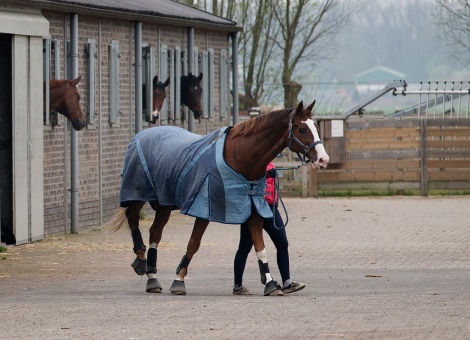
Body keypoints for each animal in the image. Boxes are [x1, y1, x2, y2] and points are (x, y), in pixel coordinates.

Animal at [111, 100, 328, 294]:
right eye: (302, 128)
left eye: (316, 126)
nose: (323, 159)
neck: (239, 157)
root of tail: (141, 135)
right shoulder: (204, 209)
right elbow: (193, 243)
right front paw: (179, 280)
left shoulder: (253, 208)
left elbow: (260, 246)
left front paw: (269, 284)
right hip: (138, 194)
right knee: (133, 218)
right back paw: (141, 261)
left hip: (164, 203)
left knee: (155, 233)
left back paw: (152, 277)